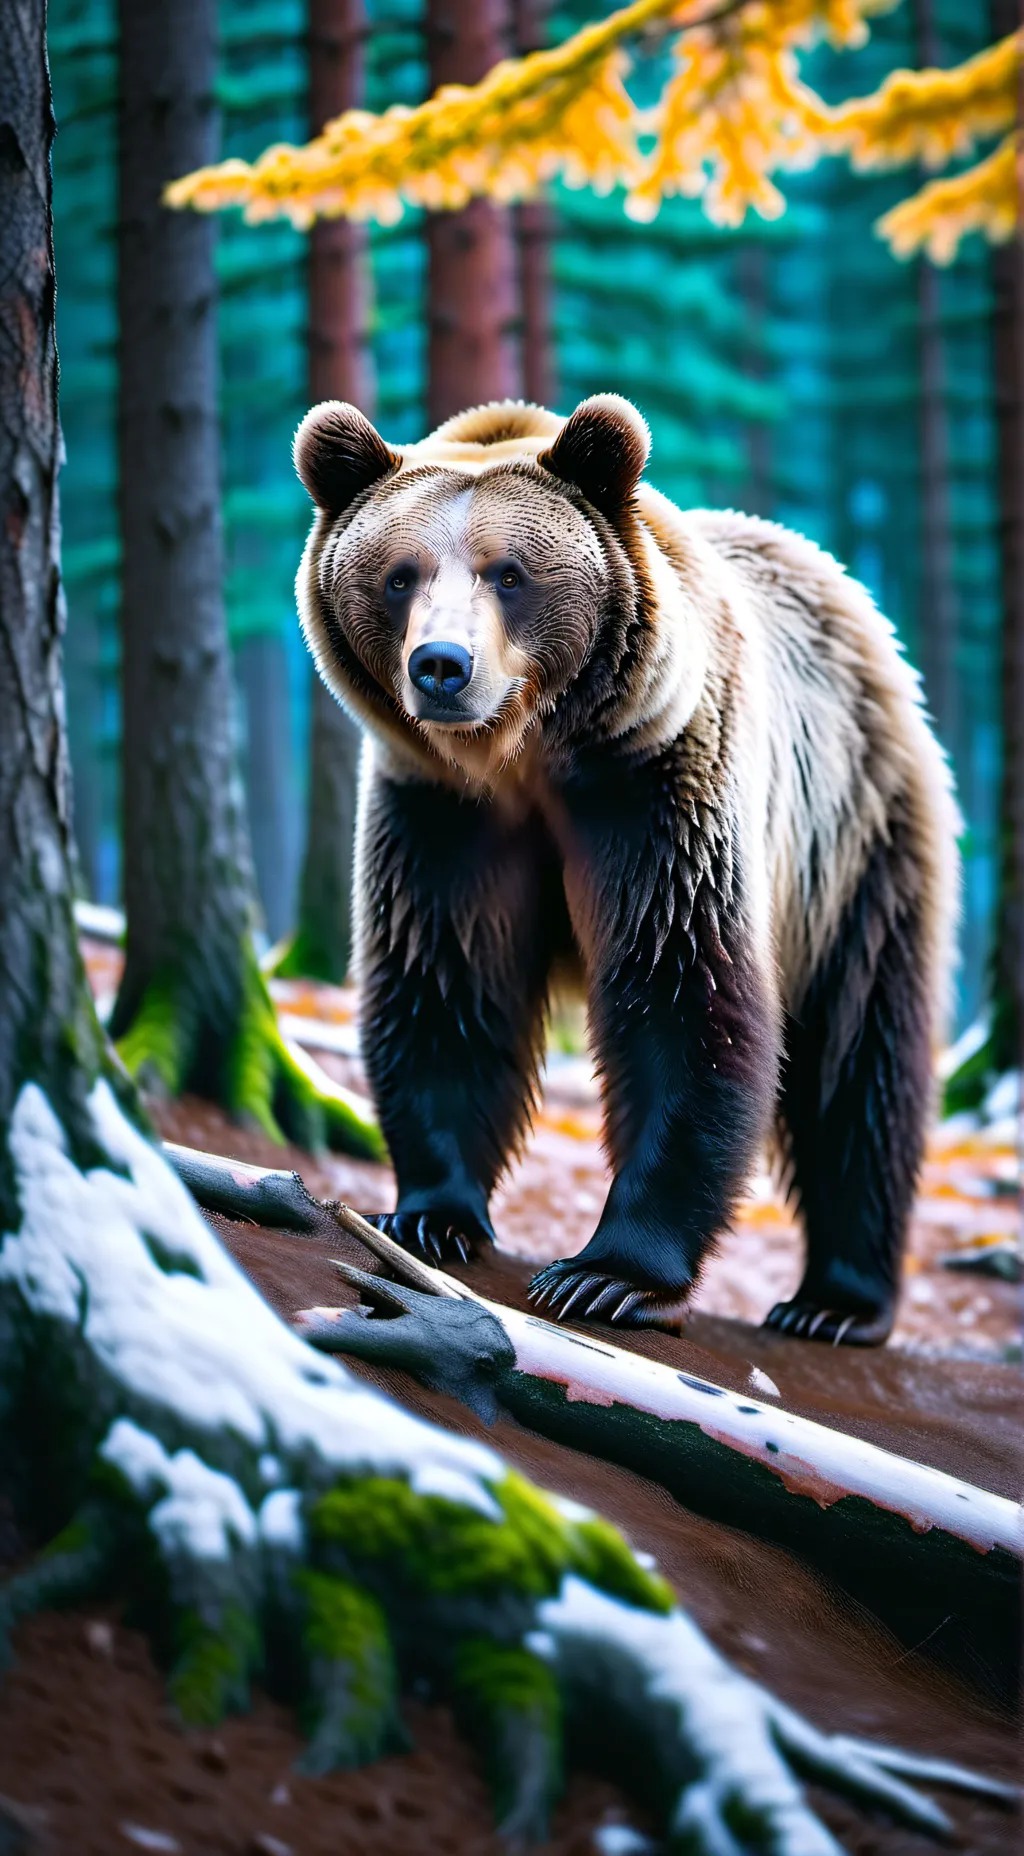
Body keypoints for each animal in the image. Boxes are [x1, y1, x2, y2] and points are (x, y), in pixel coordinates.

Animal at [293, 392, 959, 1344]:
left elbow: (682, 989)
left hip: (857, 831)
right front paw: (429, 1213)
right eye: (398, 575)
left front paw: (607, 1275)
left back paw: (835, 1301)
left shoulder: (658, 784)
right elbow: (447, 980)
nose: (442, 666)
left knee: (863, 1051)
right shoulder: (444, 815)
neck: (526, 755)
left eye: (509, 573)